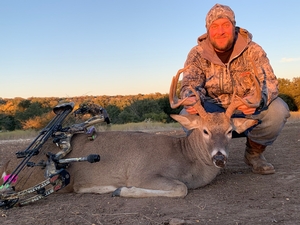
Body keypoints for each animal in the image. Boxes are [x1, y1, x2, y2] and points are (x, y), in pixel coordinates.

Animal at [0, 67, 260, 199]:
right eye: (205, 130)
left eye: (230, 131)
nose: (219, 157)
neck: (185, 159)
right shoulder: (144, 173)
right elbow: (180, 189)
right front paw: (122, 190)